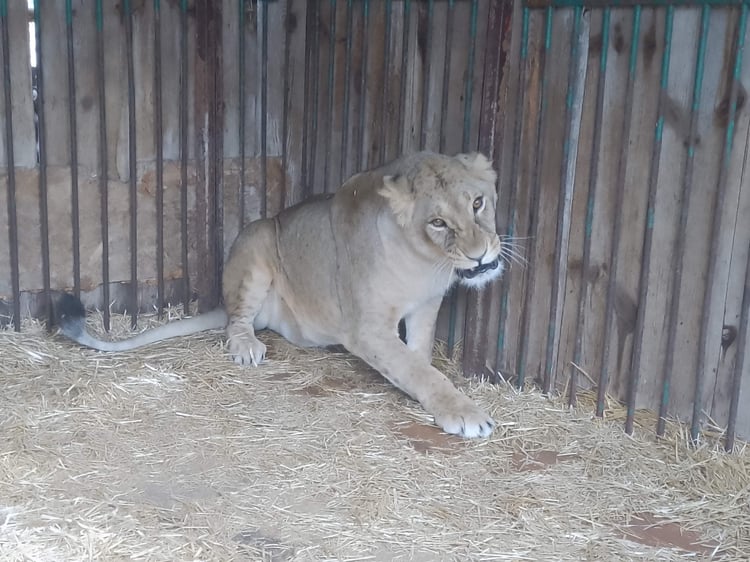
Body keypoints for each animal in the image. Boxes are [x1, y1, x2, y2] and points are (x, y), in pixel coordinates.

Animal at [58, 151, 505, 438]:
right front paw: (464, 413)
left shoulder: (426, 307)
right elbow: (419, 370)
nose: (480, 254)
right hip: (257, 238)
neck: (427, 264)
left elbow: (419, 357)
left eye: (478, 203)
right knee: (235, 320)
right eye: (437, 222)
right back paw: (246, 347)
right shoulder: (366, 329)